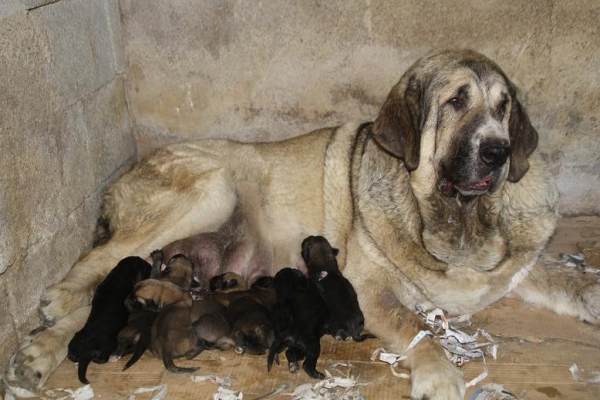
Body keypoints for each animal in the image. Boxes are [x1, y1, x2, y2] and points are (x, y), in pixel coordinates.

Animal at [67, 256, 152, 384]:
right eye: (145, 266)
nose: (151, 266)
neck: (120, 274)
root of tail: (86, 349)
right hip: (109, 346)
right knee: (104, 359)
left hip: (73, 345)